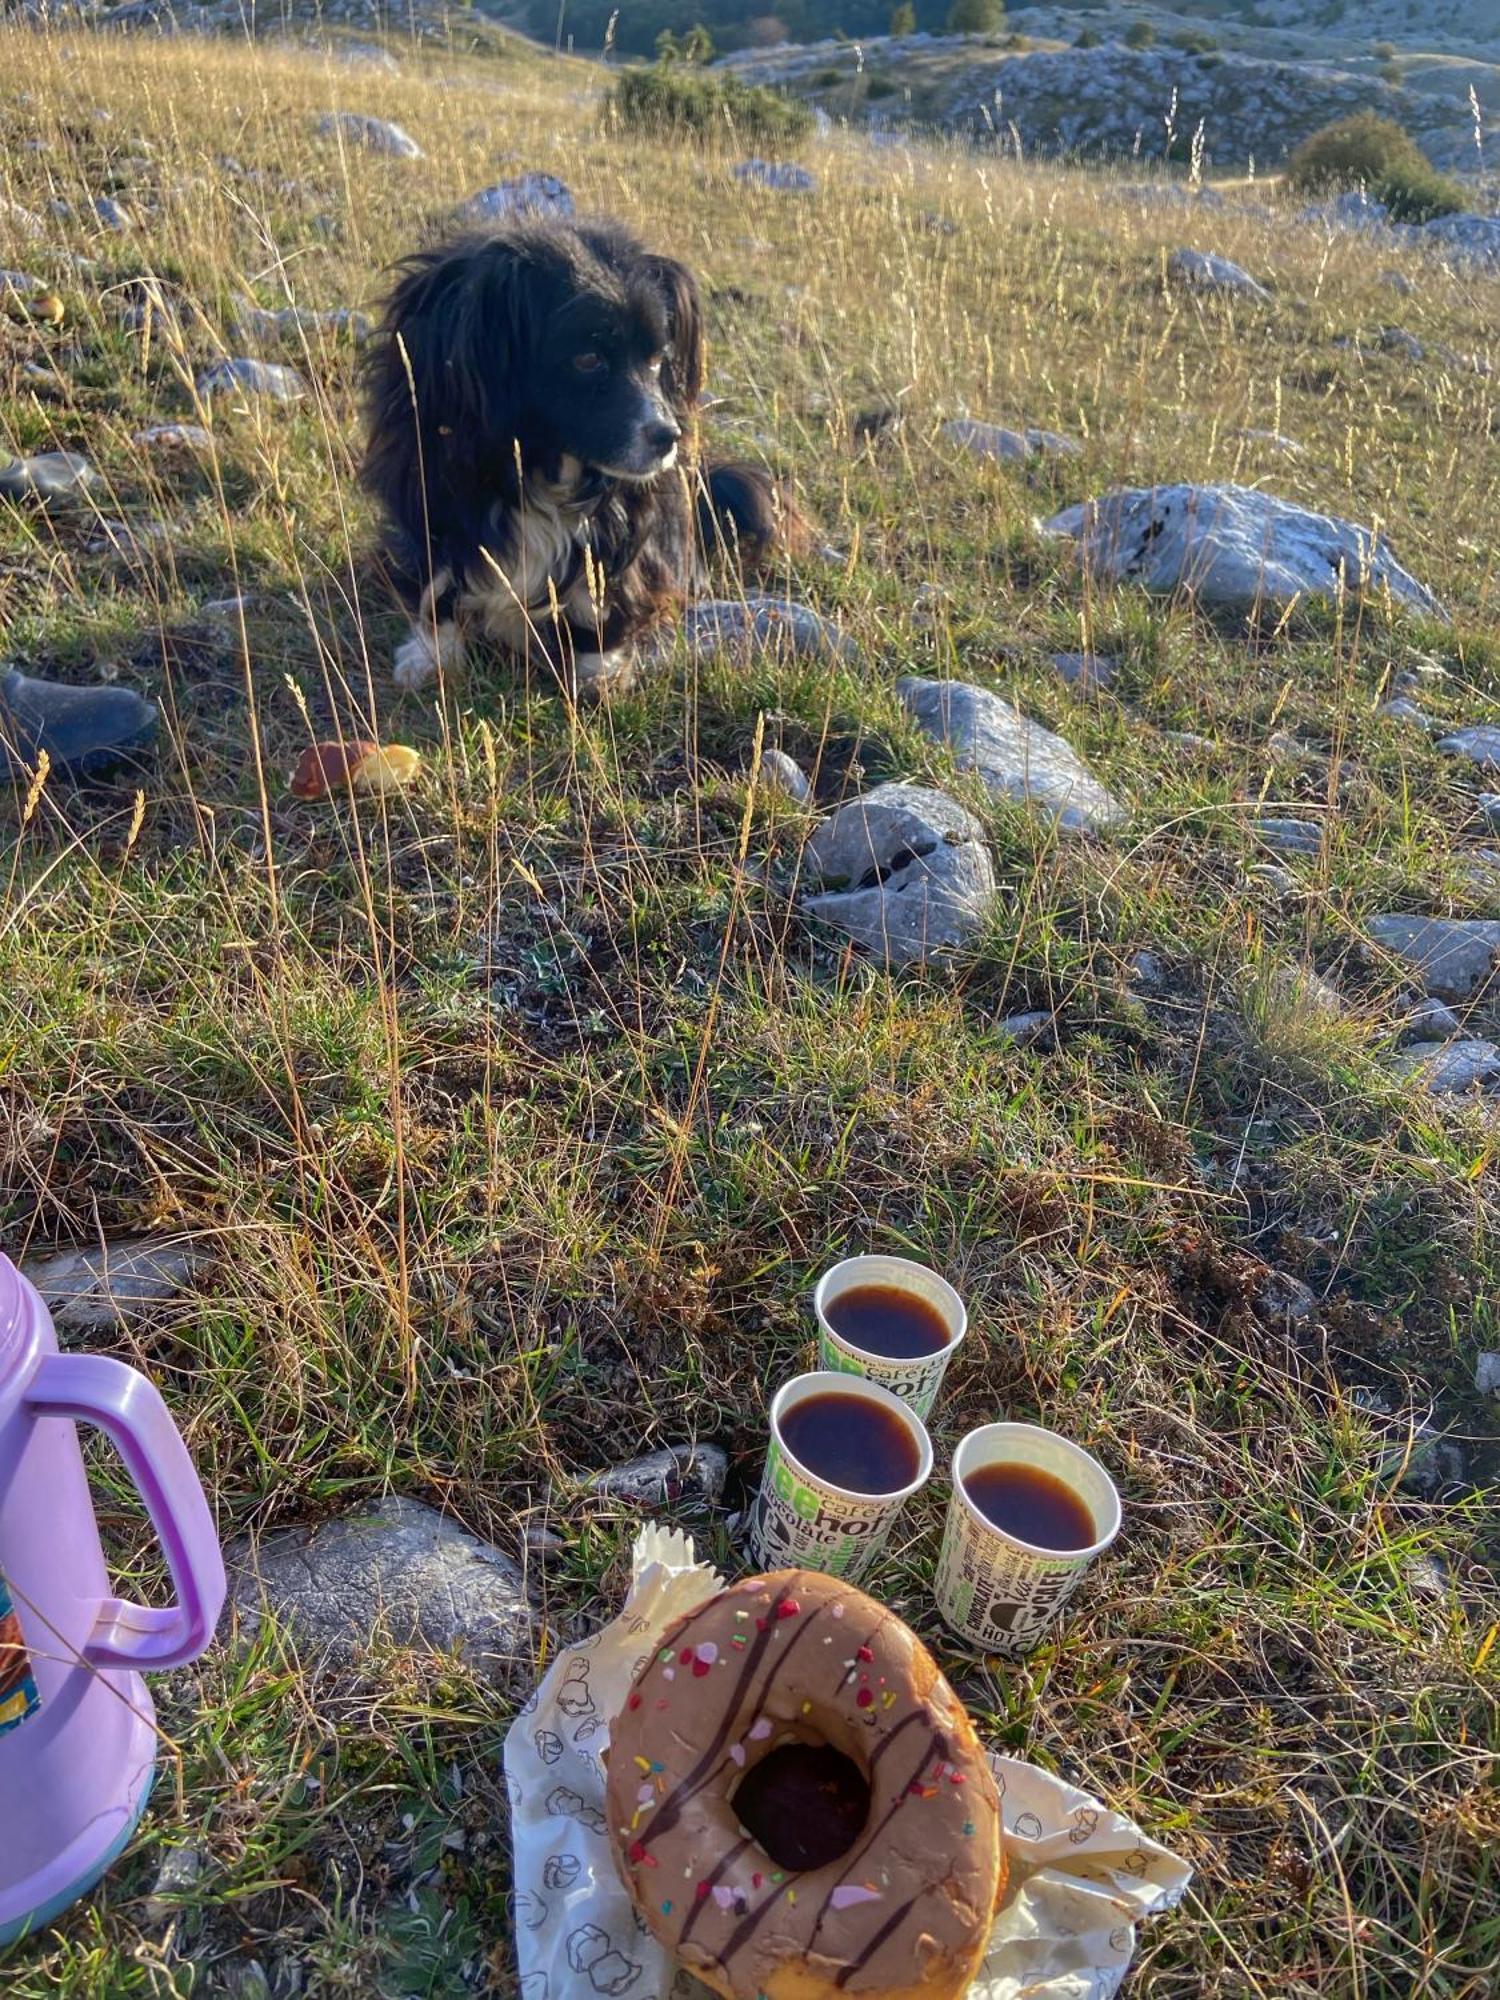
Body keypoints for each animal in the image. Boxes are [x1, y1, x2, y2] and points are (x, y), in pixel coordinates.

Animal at [362, 218, 800, 696]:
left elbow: (600, 591)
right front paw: (429, 657)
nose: (669, 437)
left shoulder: (623, 517)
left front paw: (597, 672)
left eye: (656, 360)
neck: (543, 464)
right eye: (588, 359)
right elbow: (440, 583)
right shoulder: (440, 494)